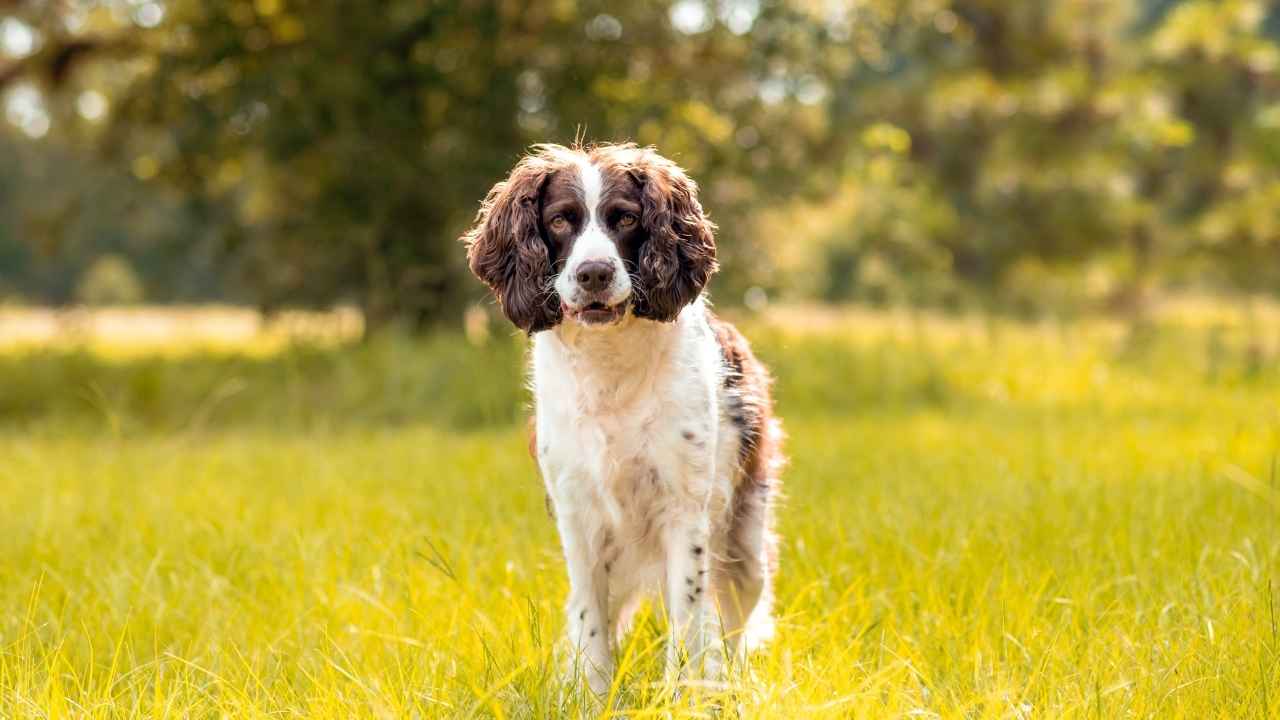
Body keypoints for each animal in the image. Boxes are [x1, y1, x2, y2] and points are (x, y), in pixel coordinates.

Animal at [463, 141, 778, 691]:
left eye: (626, 218)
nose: (594, 274)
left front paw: (681, 693)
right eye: (560, 220)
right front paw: (591, 695)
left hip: (746, 544)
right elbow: (591, 620)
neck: (608, 367)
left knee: (733, 624)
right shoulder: (577, 511)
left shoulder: (683, 509)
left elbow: (689, 618)